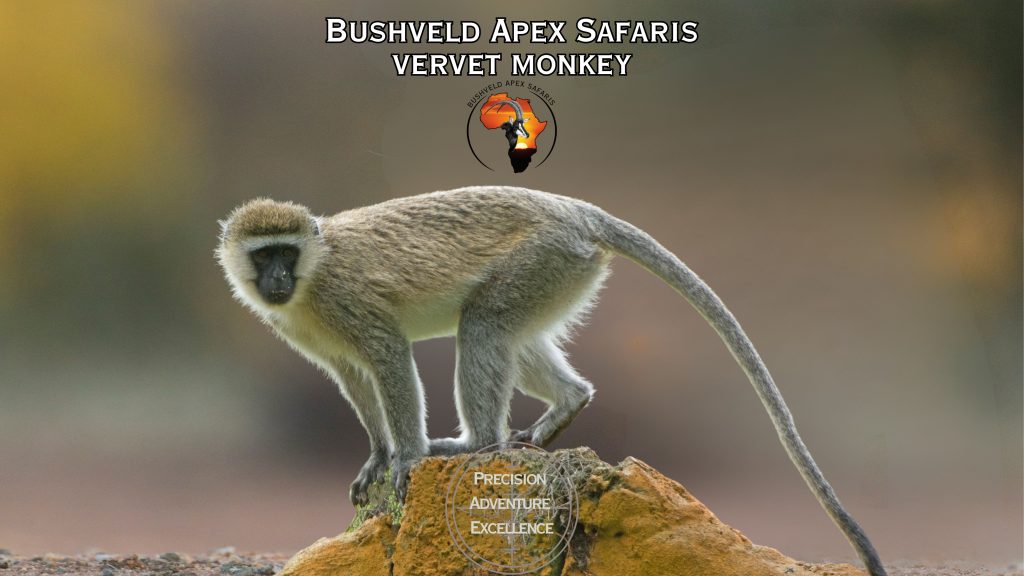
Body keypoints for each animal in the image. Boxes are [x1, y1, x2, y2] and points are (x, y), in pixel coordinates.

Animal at [216, 187, 887, 576]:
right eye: (262, 256)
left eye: (285, 254)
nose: (276, 280)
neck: (313, 274)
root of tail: (571, 208)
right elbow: (353, 374)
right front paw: (379, 456)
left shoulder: (349, 303)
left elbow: (387, 357)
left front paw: (404, 458)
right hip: (561, 272)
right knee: (509, 334)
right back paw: (565, 405)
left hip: (544, 256)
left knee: (482, 325)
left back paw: (476, 445)